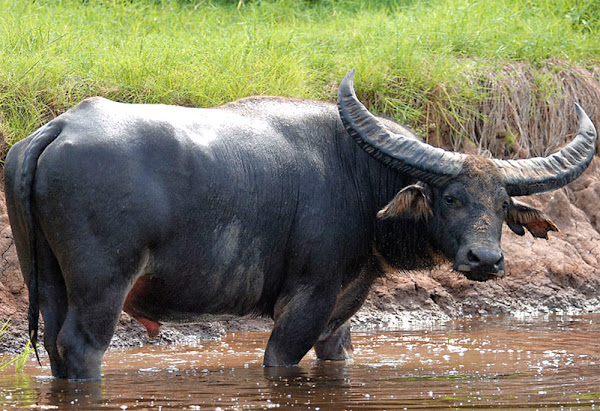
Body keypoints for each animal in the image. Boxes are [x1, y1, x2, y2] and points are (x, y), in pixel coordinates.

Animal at [3, 69, 596, 382]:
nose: (485, 261)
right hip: (102, 286)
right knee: (82, 347)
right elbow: (280, 360)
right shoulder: (304, 302)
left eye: (502, 202)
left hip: (47, 281)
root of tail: (59, 127)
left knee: (55, 348)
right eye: (449, 197)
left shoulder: (342, 309)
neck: (359, 178)